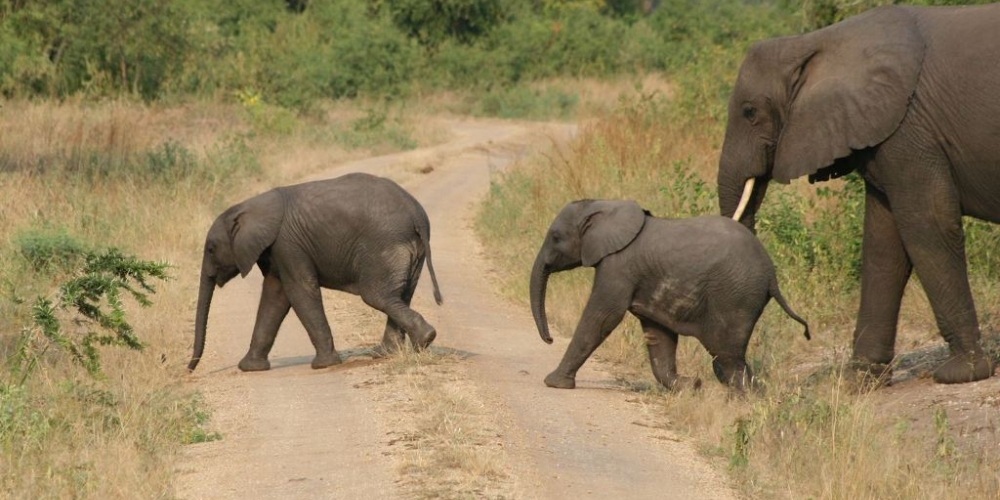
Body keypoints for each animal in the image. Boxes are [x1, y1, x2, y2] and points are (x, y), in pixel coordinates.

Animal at [187, 172, 442, 372]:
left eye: (211, 249)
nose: (189, 369)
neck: (249, 206)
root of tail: (417, 214)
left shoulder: (287, 244)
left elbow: (299, 291)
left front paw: (324, 365)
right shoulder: (275, 250)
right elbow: (275, 297)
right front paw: (249, 368)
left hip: (384, 246)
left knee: (376, 296)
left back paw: (422, 340)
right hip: (412, 251)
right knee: (400, 295)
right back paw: (392, 351)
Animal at [528, 199, 808, 390]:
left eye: (555, 237)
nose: (550, 339)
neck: (604, 206)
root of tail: (772, 275)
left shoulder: (618, 267)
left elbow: (603, 317)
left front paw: (553, 383)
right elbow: (658, 333)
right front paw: (690, 385)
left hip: (736, 297)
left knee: (727, 357)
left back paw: (742, 400)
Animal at [720, 3, 1000, 384]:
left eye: (750, 112)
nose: (749, 375)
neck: (815, 42)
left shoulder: (909, 129)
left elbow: (929, 226)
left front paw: (962, 373)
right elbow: (884, 242)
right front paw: (859, 380)